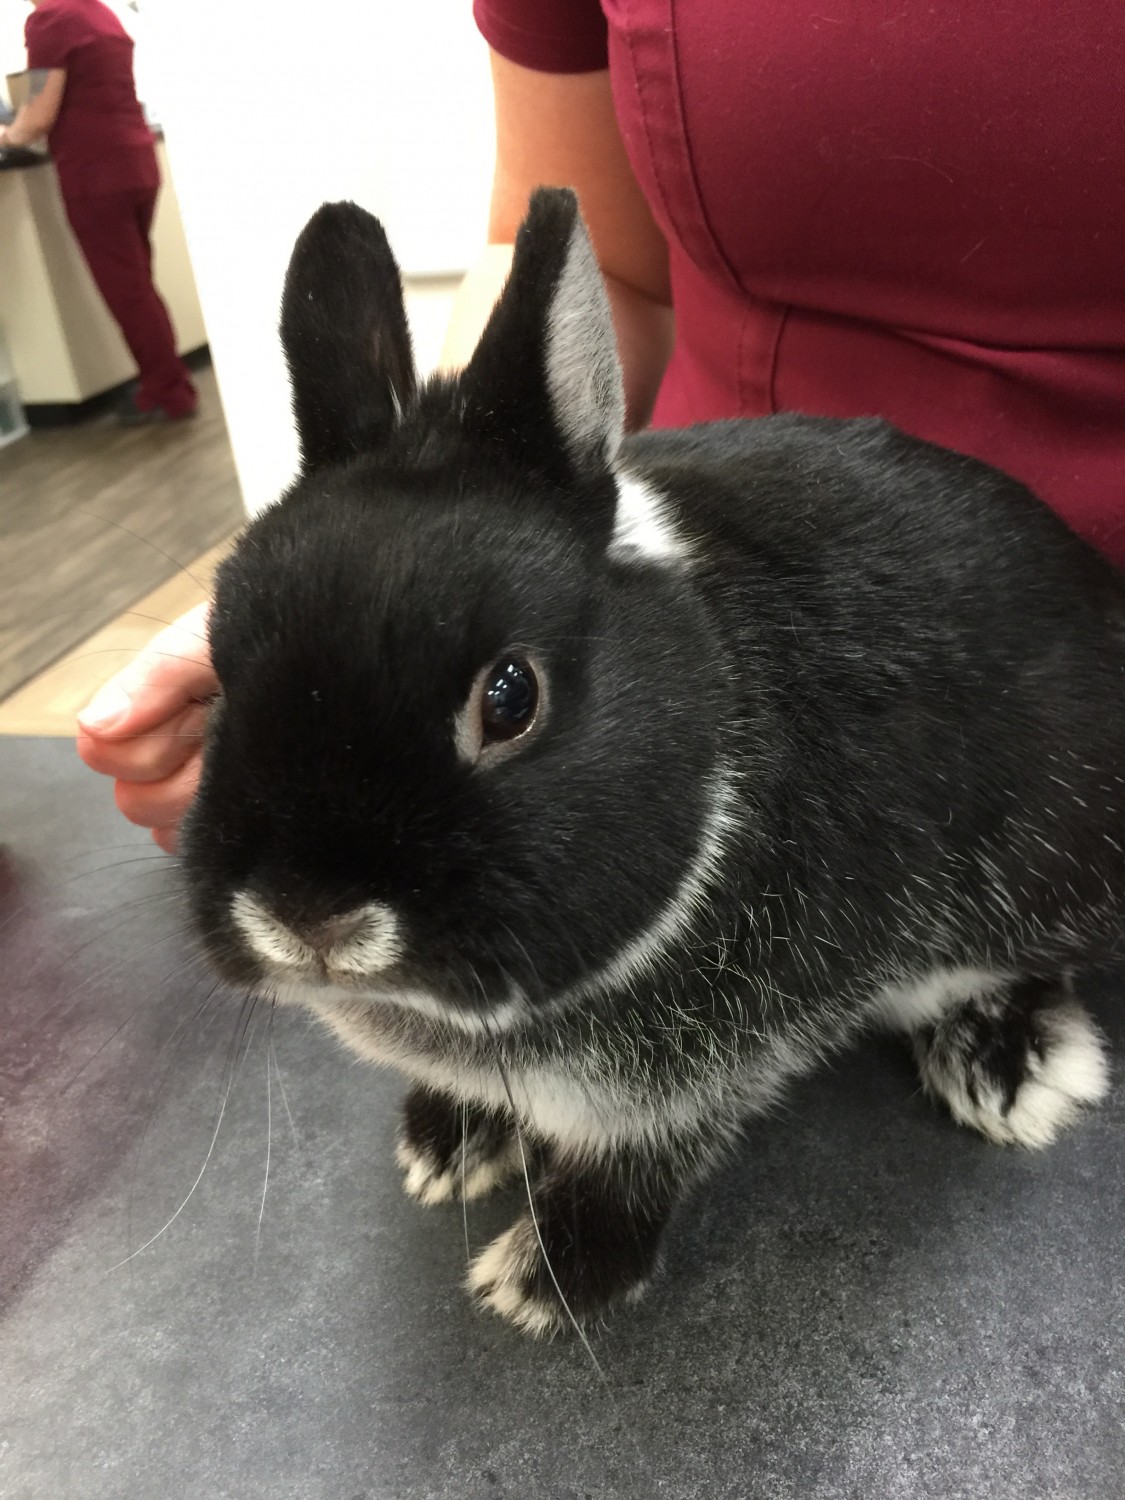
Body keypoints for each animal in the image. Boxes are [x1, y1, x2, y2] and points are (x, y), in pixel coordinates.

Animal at [180, 190, 1122, 1338]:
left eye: (509, 697)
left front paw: (548, 1276)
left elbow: (651, 1153)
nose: (308, 916)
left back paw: (1006, 1063)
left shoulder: (713, 1060)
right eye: (221, 672)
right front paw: (445, 1145)